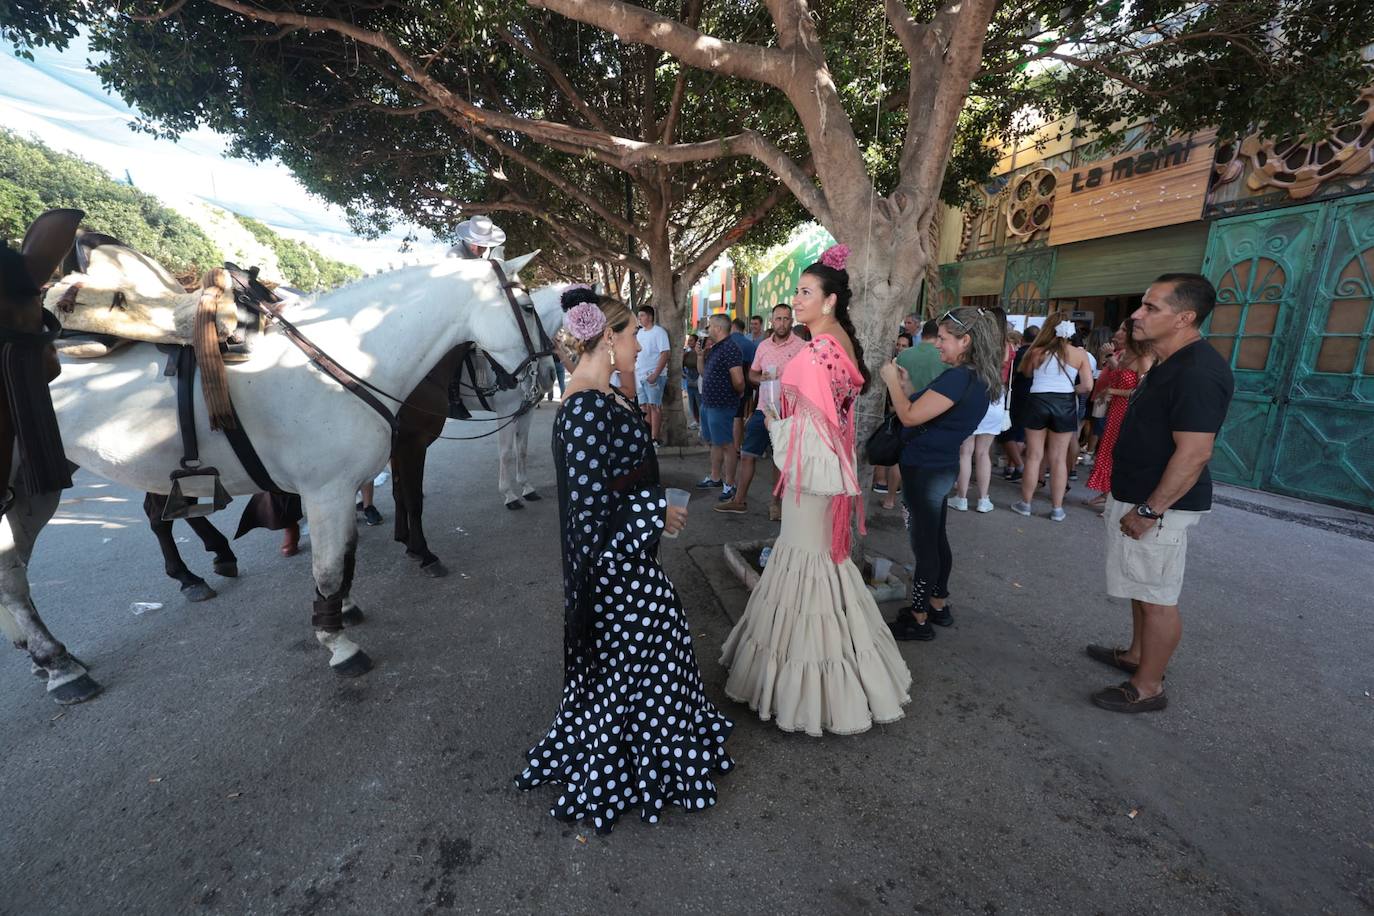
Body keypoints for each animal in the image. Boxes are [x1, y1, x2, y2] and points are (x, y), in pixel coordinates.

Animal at [1, 211, 563, 708]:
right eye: (528, 307)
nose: (542, 376)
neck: (346, 358)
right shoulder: (336, 484)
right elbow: (339, 560)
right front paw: (340, 639)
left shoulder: (343, 483)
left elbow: (346, 554)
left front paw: (347, 606)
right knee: (24, 567)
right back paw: (62, 663)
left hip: (38, 485)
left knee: (23, 567)